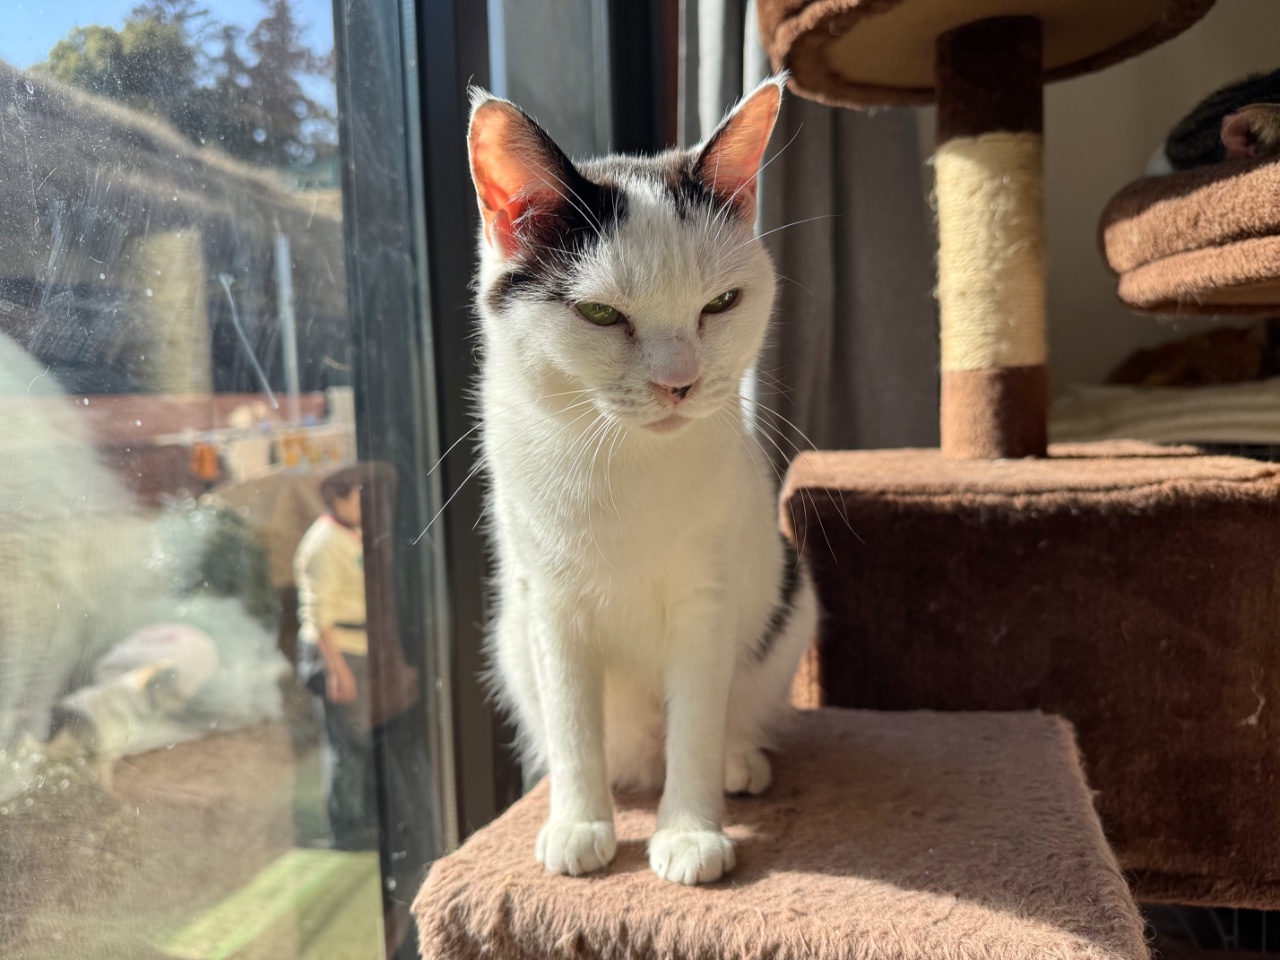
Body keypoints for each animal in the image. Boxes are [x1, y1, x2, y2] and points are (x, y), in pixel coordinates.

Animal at [466, 76, 817, 885]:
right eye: (600, 313)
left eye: (721, 303)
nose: (678, 383)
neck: (622, 462)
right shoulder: (547, 602)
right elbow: (572, 722)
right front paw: (579, 822)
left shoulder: (707, 599)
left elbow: (695, 722)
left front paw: (689, 834)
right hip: (510, 636)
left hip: (788, 604)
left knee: (723, 714)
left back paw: (736, 761)